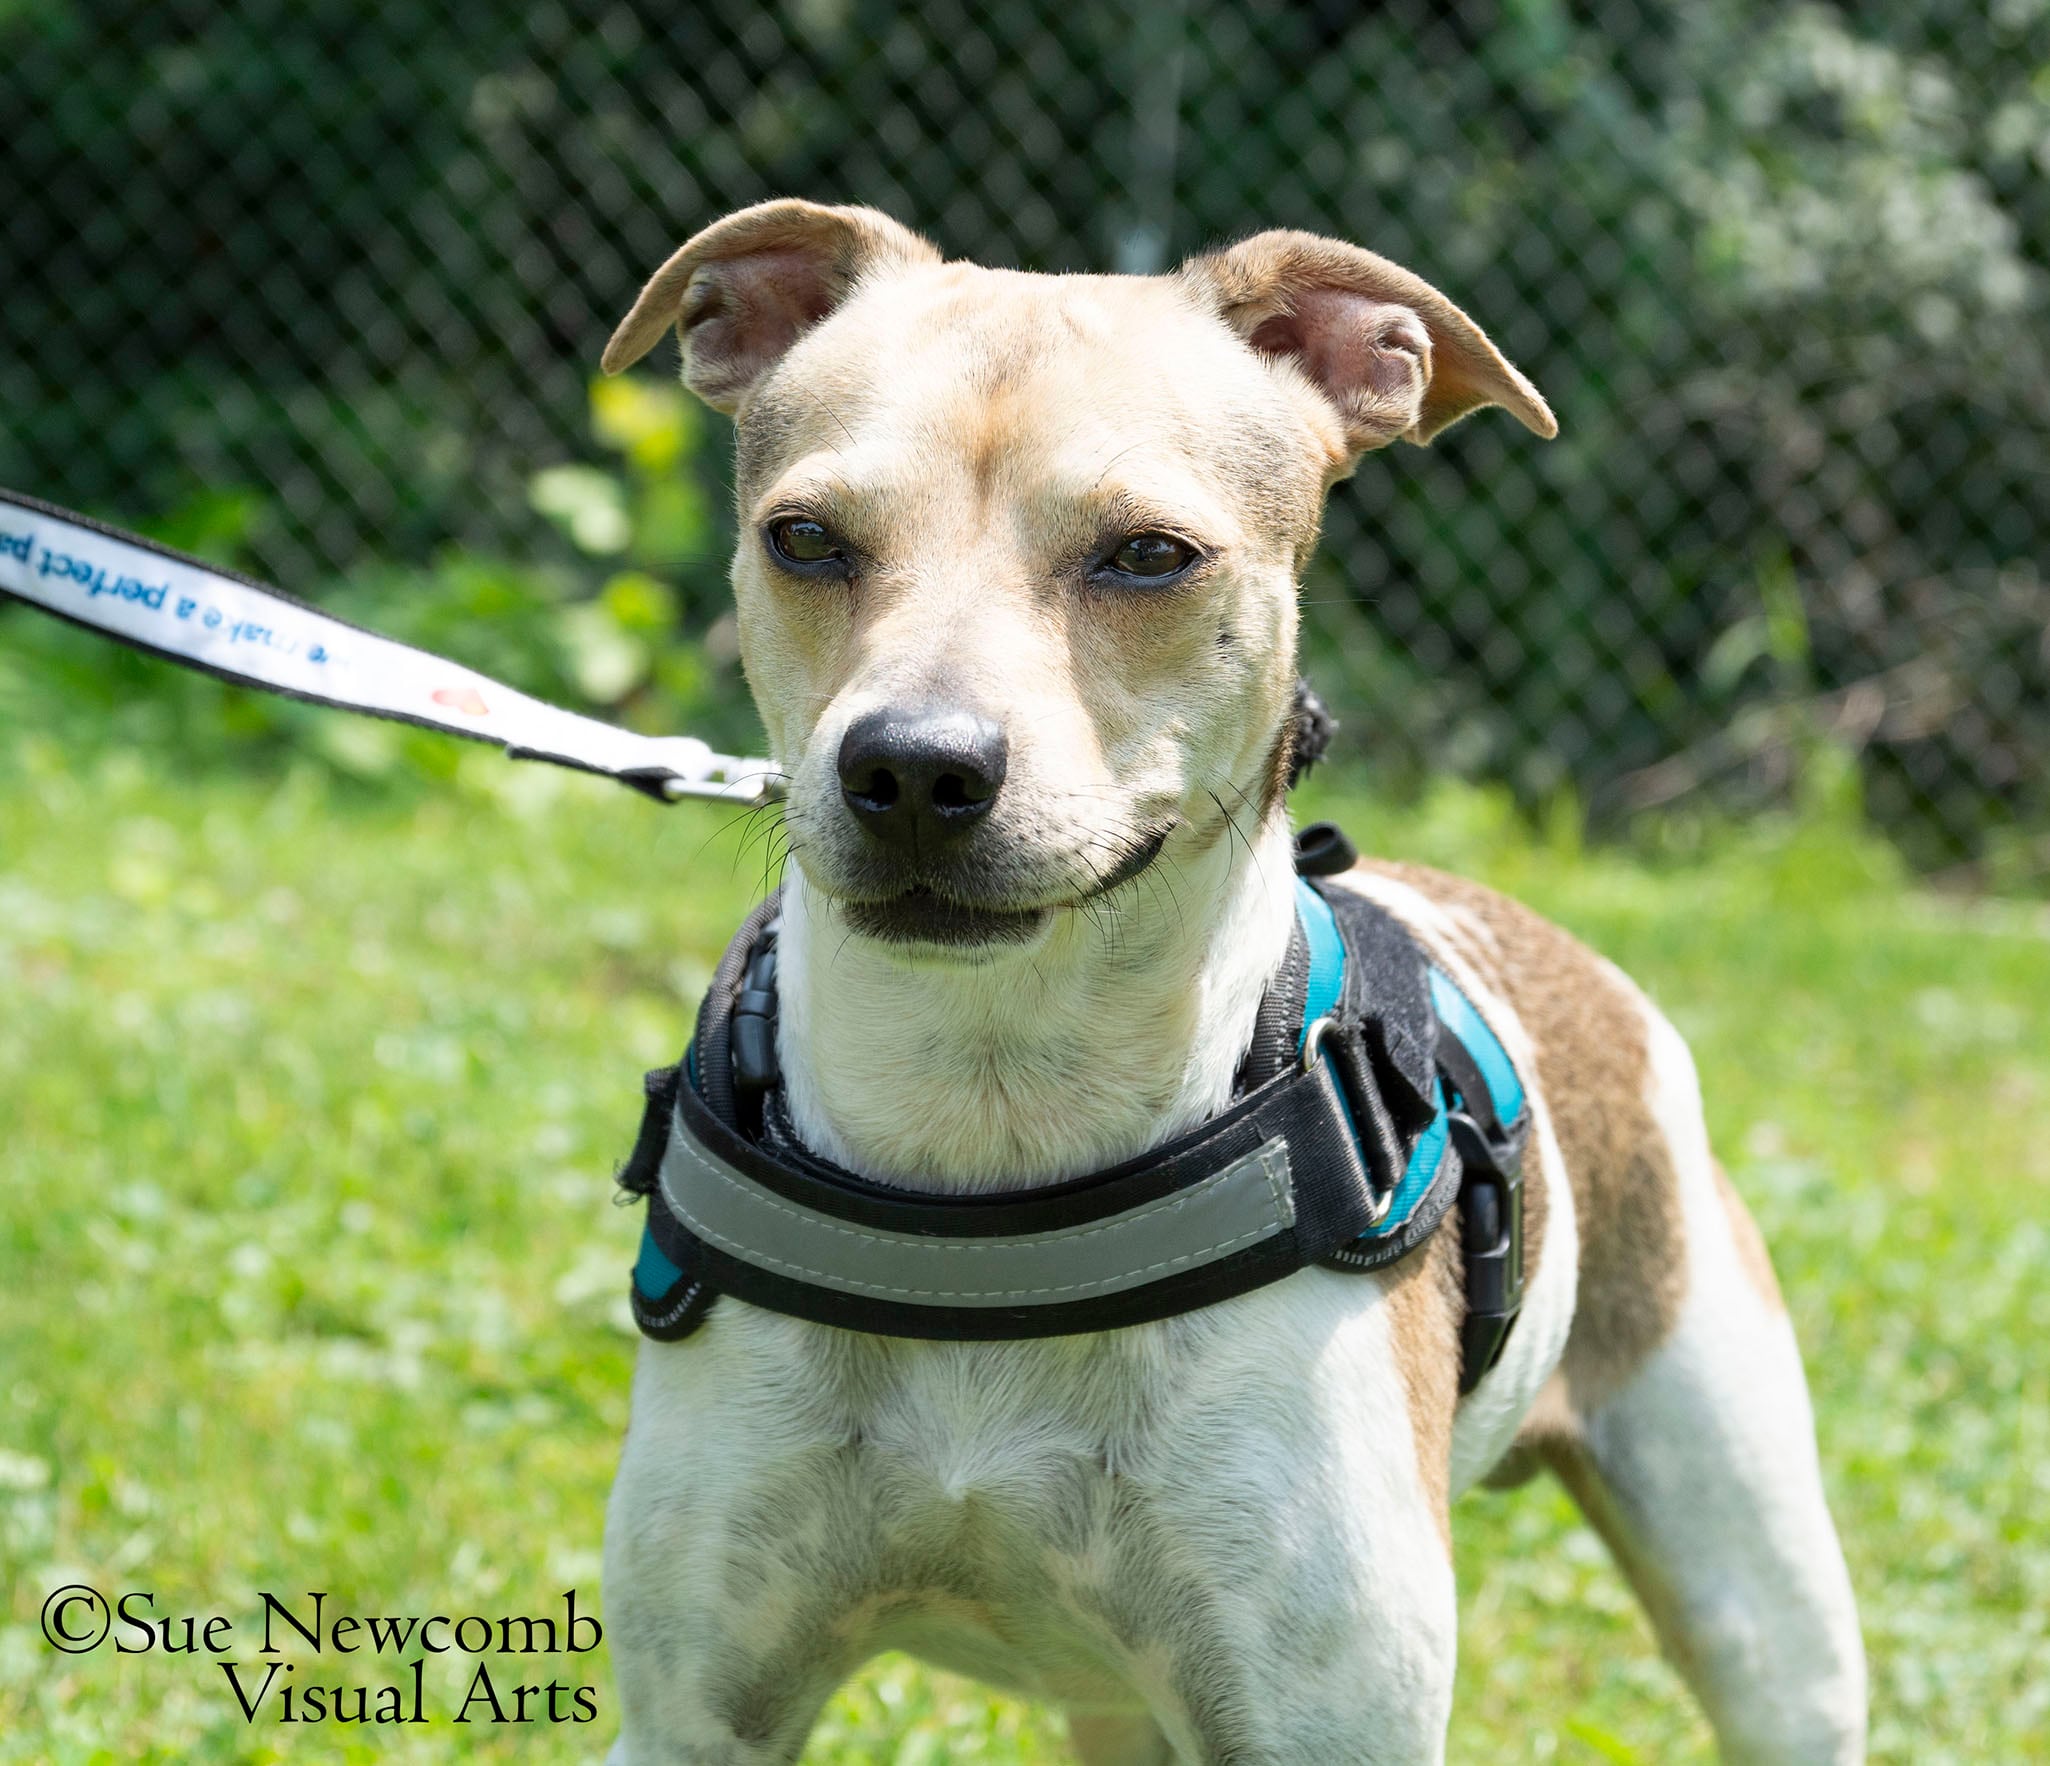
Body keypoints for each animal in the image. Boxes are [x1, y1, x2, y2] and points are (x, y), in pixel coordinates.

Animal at [598, 203, 1877, 1763]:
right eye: (804, 538)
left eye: (1150, 555)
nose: (912, 766)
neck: (991, 1144)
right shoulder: (697, 1705)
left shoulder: (1331, 1714)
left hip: (1758, 1591)